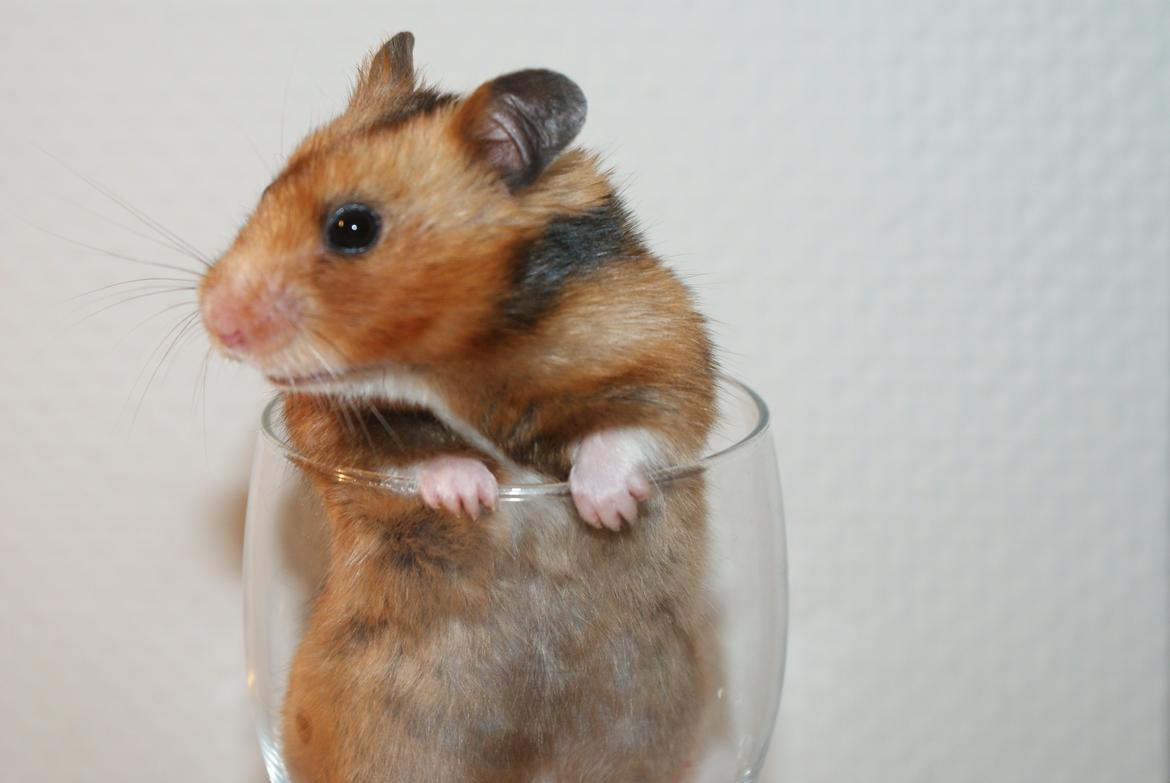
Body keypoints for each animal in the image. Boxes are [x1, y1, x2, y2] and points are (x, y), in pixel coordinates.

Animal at [199, 32, 719, 782]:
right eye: (268, 191)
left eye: (351, 227)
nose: (215, 321)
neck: (454, 360)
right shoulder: (321, 426)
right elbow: (409, 457)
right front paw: (474, 493)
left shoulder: (668, 349)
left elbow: (629, 426)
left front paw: (605, 507)